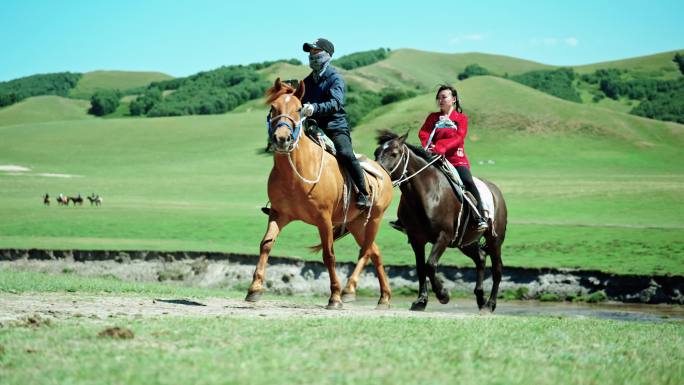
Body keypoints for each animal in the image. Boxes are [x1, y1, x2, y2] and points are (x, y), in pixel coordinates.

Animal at [246, 78, 396, 308]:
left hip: (375, 219)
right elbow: (266, 244)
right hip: (356, 224)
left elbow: (329, 254)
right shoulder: (279, 214)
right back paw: (384, 297)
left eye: (299, 109)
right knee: (375, 252)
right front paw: (254, 289)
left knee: (367, 251)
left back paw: (352, 291)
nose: (282, 138)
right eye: (273, 108)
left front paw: (334, 296)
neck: (296, 173)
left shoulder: (323, 219)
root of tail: (384, 173)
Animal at [374, 130, 508, 310]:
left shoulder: (443, 237)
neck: (427, 194)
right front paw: (421, 301)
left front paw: (443, 294)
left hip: (494, 240)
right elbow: (421, 268)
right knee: (480, 258)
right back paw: (480, 297)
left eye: (394, 154)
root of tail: (496, 191)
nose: (378, 176)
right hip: (464, 242)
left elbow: (430, 265)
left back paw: (490, 303)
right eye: (376, 153)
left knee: (497, 270)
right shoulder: (416, 240)